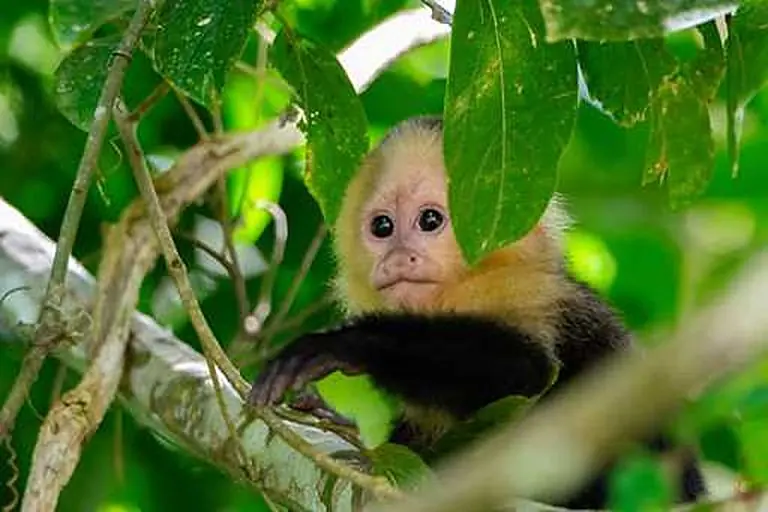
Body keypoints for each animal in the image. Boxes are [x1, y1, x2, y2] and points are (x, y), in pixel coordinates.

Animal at [249, 116, 705, 508]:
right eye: (382, 227)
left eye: (430, 220)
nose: (397, 259)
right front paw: (334, 419)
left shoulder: (521, 290)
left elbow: (529, 374)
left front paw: (345, 344)